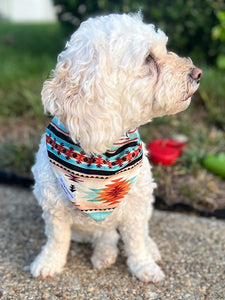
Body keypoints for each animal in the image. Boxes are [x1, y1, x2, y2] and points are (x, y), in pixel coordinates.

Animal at [30, 12, 202, 282]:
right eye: (148, 58)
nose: (198, 73)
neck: (104, 149)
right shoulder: (54, 211)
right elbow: (57, 241)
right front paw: (49, 262)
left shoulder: (136, 209)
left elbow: (136, 242)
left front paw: (144, 266)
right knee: (105, 234)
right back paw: (105, 253)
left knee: (135, 235)